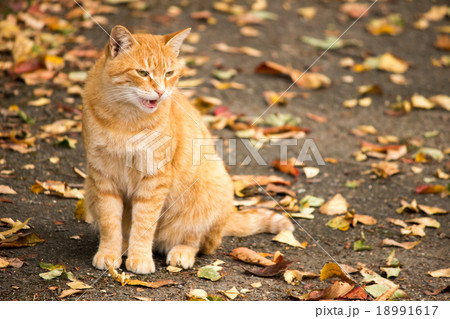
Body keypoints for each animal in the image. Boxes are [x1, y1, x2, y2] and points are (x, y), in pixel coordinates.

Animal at [82, 25, 294, 276]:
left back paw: (181, 252)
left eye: (169, 73)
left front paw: (140, 257)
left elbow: (144, 223)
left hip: (209, 191)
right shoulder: (102, 176)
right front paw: (109, 253)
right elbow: (110, 222)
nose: (161, 92)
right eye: (143, 73)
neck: (125, 120)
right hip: (89, 189)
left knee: (197, 241)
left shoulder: (154, 178)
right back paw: (124, 246)